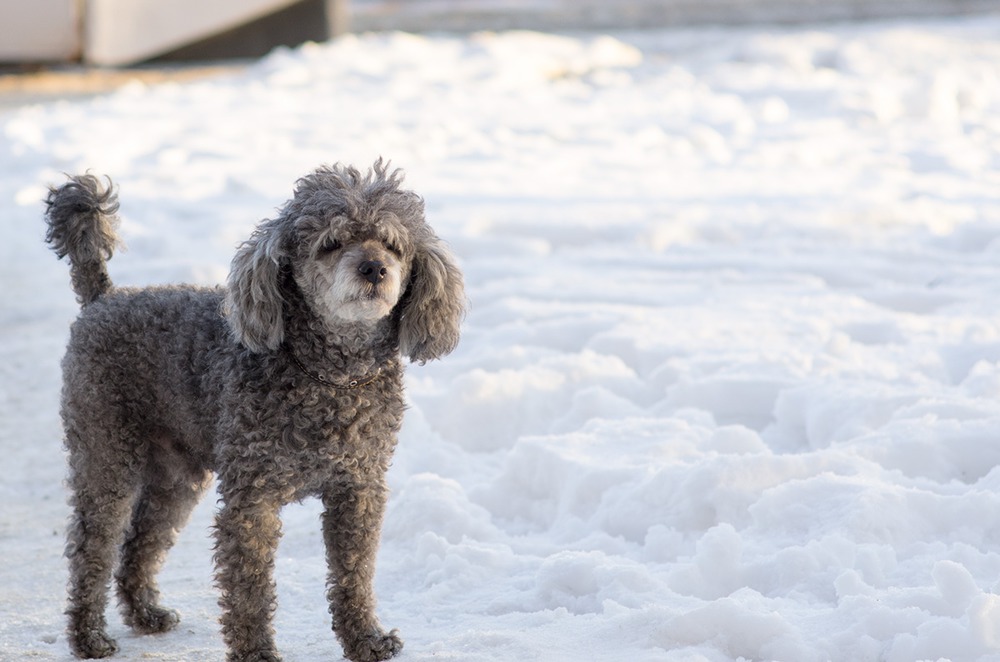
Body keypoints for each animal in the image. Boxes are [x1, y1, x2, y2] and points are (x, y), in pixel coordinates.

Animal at [45, 162, 466, 662]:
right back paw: (88, 633)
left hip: (177, 474)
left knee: (142, 540)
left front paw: (366, 638)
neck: (332, 375)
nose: (375, 268)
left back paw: (145, 612)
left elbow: (354, 574)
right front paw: (256, 652)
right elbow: (248, 587)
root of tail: (103, 297)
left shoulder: (358, 489)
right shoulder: (253, 498)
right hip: (106, 451)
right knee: (93, 545)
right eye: (332, 243)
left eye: (393, 245)